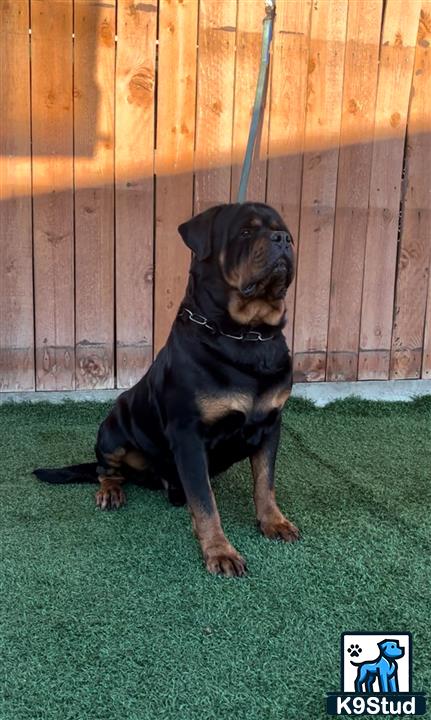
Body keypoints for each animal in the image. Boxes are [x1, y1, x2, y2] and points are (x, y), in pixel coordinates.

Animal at [34, 201, 300, 572]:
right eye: (246, 231)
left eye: (285, 232)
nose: (283, 240)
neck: (247, 335)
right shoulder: (188, 433)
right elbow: (205, 501)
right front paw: (220, 551)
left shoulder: (271, 424)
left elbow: (265, 482)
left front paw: (273, 522)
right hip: (113, 427)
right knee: (106, 468)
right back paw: (111, 490)